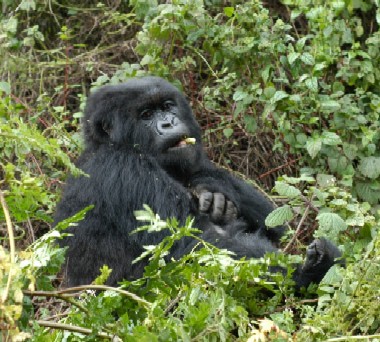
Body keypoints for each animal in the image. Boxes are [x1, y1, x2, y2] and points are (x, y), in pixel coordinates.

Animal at [53, 76, 342, 288]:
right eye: (145, 114)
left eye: (167, 106)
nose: (169, 123)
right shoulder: (124, 167)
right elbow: (194, 246)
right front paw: (309, 272)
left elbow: (275, 222)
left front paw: (212, 190)